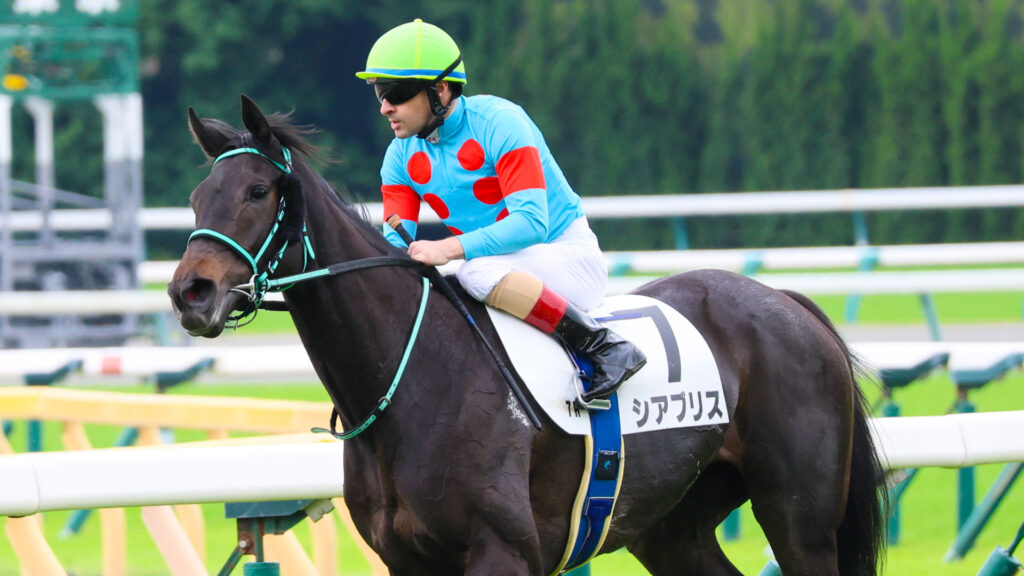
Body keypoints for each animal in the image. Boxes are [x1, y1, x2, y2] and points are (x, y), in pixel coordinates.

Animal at [169, 95, 885, 576]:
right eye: (198, 197)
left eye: (257, 190)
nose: (189, 293)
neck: (410, 380)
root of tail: (787, 302)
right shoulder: (407, 559)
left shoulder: (502, 550)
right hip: (674, 525)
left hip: (799, 516)